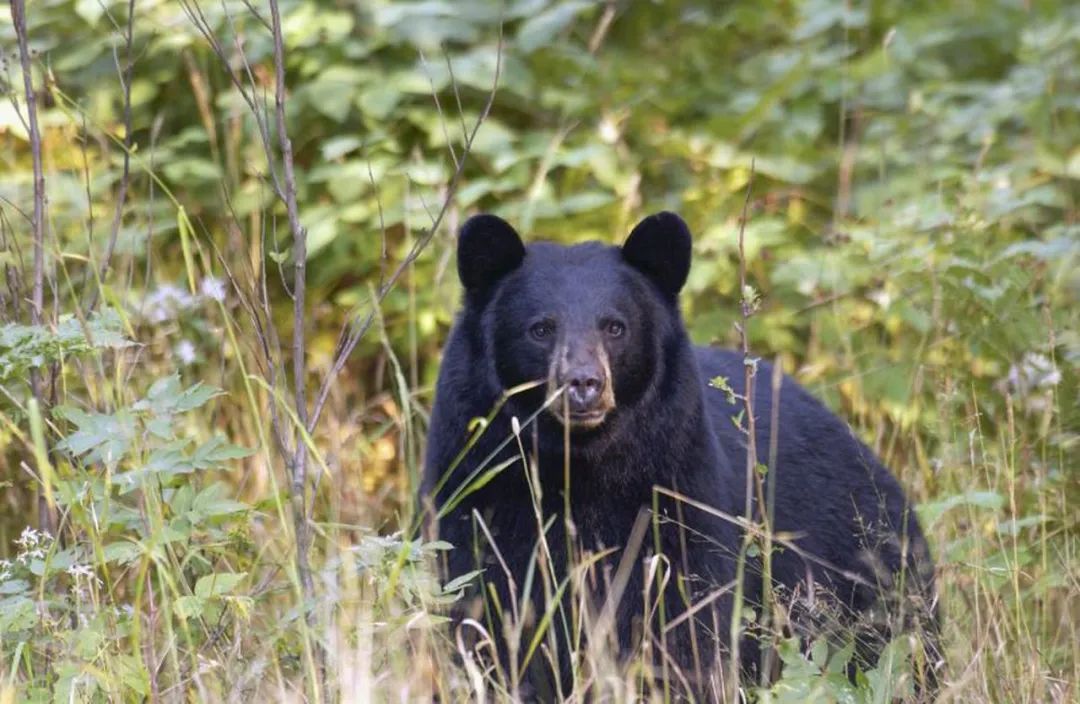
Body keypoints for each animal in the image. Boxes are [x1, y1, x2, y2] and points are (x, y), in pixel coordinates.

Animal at [421, 212, 937, 699]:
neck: (579, 464)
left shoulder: (675, 488)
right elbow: (489, 608)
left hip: (869, 574)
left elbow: (682, 619)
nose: (583, 383)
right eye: (541, 329)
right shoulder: (479, 484)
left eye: (616, 327)